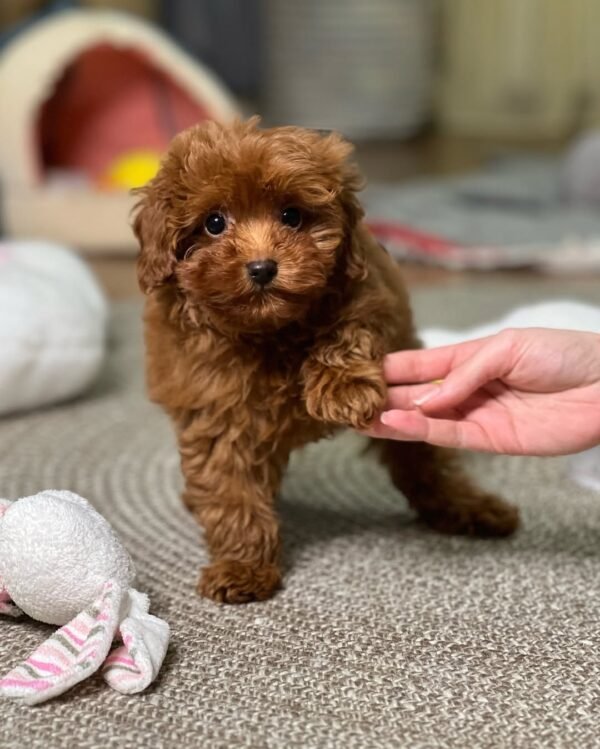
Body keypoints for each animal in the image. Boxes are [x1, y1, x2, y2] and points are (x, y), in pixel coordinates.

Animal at [134, 120, 516, 604]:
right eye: (214, 223)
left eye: (292, 216)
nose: (262, 268)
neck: (271, 330)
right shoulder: (216, 411)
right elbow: (232, 491)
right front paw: (243, 567)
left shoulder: (367, 296)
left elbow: (347, 331)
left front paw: (342, 387)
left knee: (426, 465)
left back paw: (472, 508)